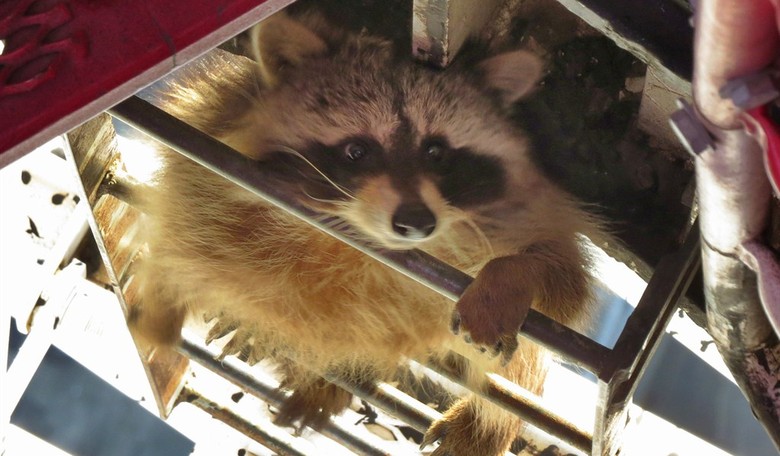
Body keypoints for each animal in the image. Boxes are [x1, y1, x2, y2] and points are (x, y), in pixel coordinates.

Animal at [130, 9, 600, 456]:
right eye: (358, 150)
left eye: (436, 151)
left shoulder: (534, 210)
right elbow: (180, 228)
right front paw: (160, 307)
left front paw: (511, 273)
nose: (416, 222)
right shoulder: (210, 137)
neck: (361, 242)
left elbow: (563, 284)